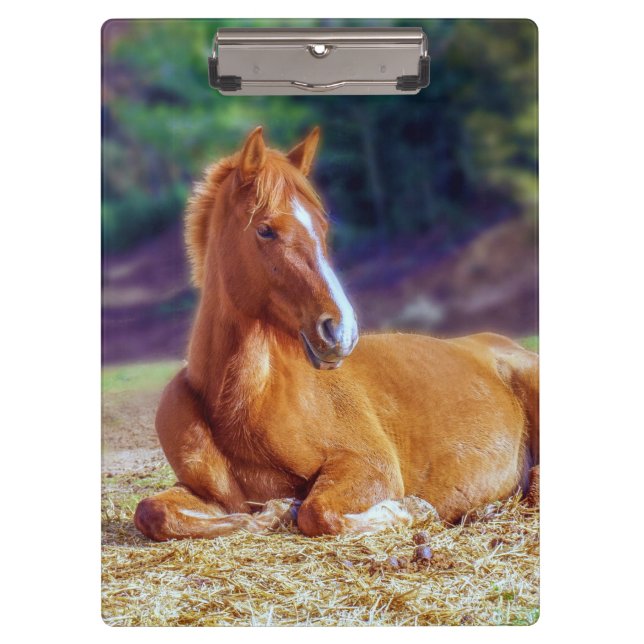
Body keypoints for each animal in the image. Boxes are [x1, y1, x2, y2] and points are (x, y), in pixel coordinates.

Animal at [134, 126, 539, 541]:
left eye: (322, 227)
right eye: (265, 230)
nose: (340, 330)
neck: (244, 402)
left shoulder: (369, 465)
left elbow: (318, 513)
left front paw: (412, 509)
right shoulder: (207, 493)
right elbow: (152, 511)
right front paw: (273, 511)